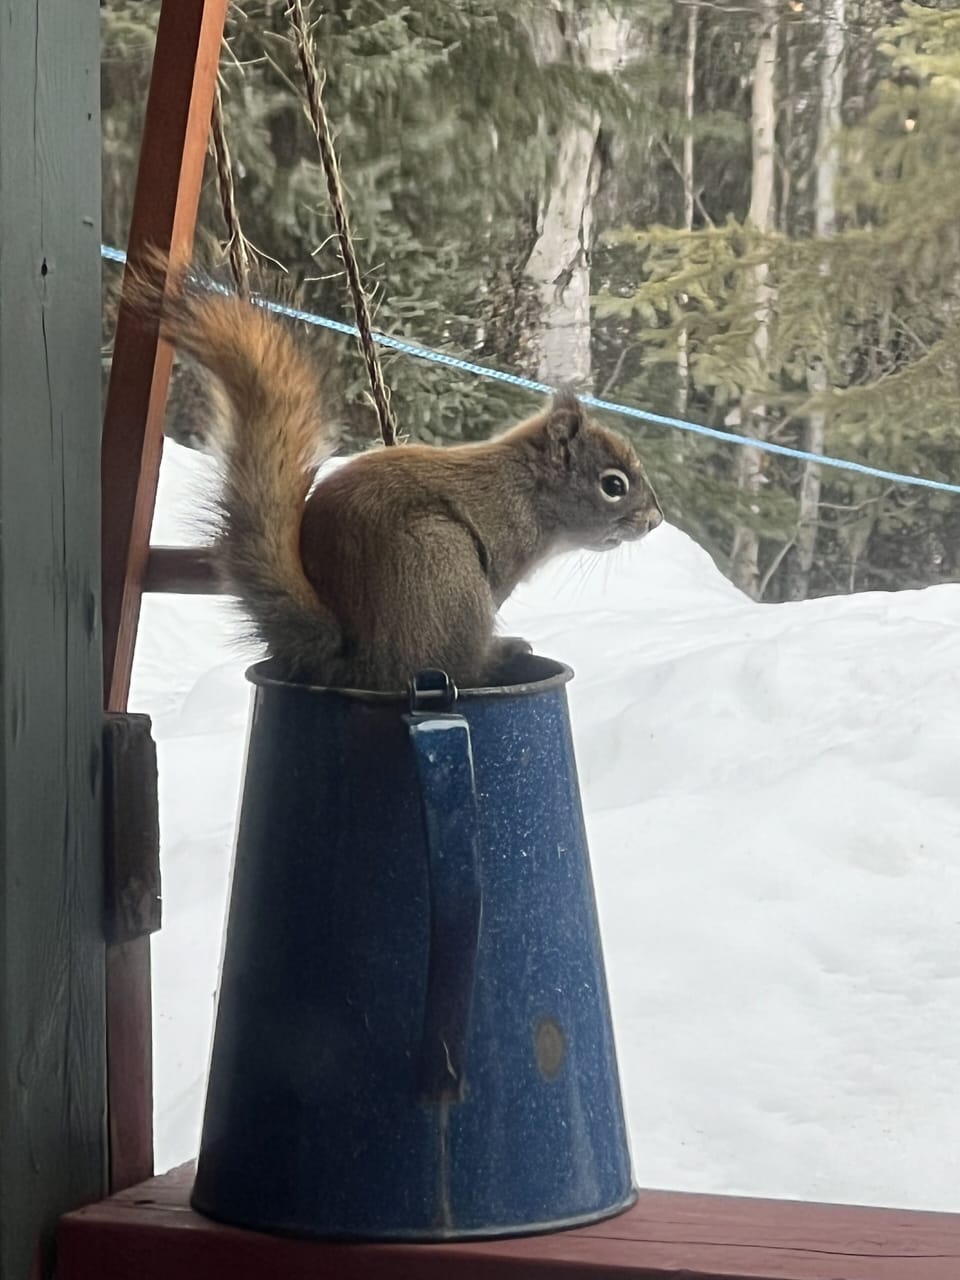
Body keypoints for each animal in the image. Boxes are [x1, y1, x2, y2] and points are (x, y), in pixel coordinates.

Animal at [130, 256, 664, 692]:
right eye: (613, 485)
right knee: (442, 668)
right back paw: (501, 654)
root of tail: (351, 655)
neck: (529, 491)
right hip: (441, 565)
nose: (654, 521)